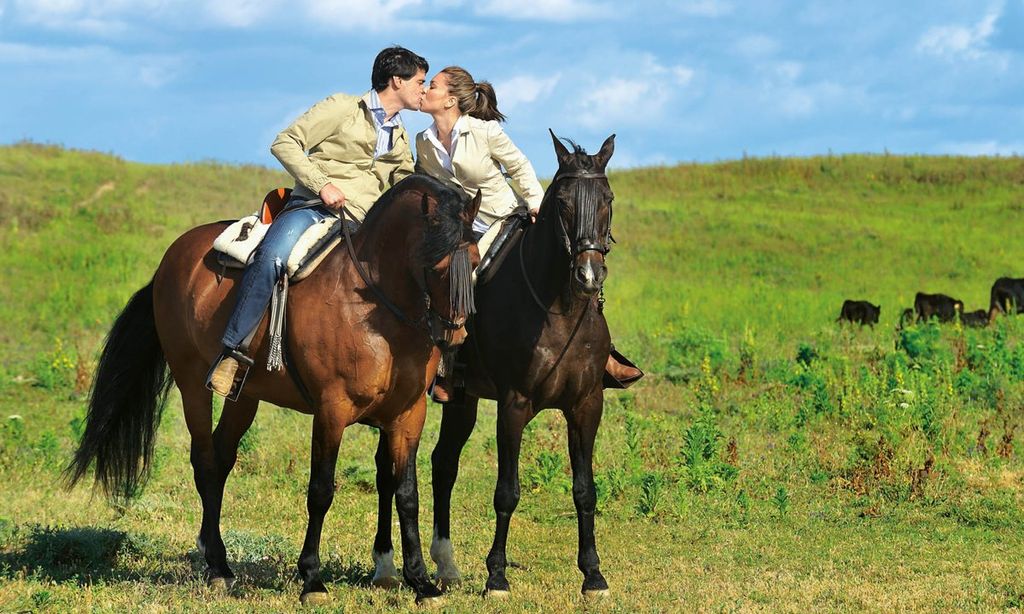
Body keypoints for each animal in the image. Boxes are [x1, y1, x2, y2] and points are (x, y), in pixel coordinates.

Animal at [69, 173, 483, 605]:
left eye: (474, 262)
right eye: (436, 265)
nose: (455, 335)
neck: (376, 311)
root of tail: (174, 257)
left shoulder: (408, 416)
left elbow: (407, 494)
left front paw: (422, 582)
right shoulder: (331, 410)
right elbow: (321, 490)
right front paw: (312, 578)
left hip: (244, 397)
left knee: (221, 460)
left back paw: (217, 560)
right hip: (192, 384)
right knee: (204, 460)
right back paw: (217, 568)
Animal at [372, 132, 618, 597]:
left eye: (607, 199)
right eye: (563, 202)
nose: (589, 275)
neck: (560, 310)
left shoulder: (586, 406)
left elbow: (585, 490)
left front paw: (593, 575)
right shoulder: (514, 404)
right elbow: (507, 492)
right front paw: (497, 576)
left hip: (461, 401)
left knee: (443, 465)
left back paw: (444, 565)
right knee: (388, 469)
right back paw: (386, 565)